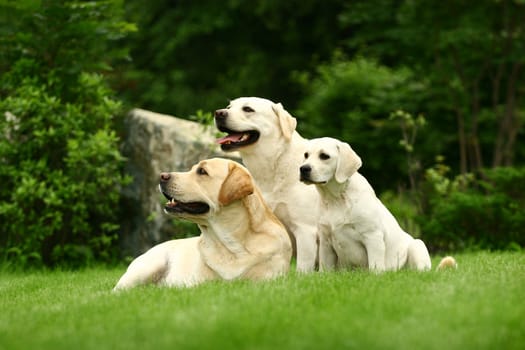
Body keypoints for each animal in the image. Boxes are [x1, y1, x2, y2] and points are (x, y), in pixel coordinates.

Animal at [298, 138, 454, 272]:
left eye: (324, 156)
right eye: (306, 155)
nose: (303, 168)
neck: (336, 198)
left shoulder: (373, 236)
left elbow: (375, 267)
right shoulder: (325, 241)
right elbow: (325, 269)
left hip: (417, 245)